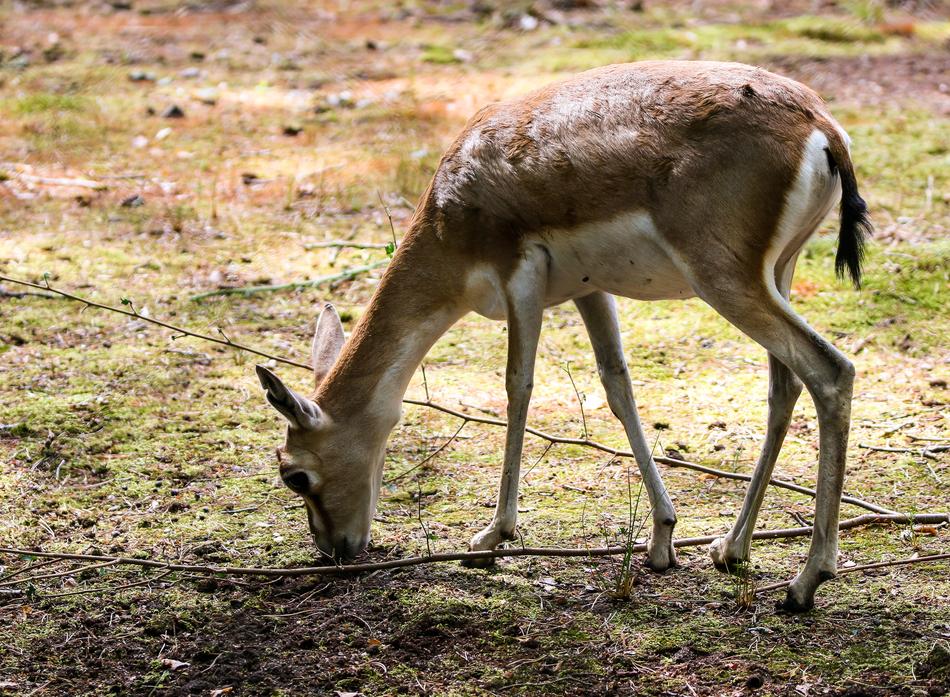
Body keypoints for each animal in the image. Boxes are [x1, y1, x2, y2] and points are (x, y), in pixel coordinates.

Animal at [256, 60, 871, 612]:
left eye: (294, 475)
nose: (333, 550)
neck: (456, 201)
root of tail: (819, 125)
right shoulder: (588, 290)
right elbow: (617, 387)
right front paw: (662, 539)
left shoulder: (519, 279)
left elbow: (518, 388)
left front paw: (490, 539)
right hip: (777, 275)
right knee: (784, 388)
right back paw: (732, 548)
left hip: (724, 280)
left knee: (831, 370)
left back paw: (805, 583)